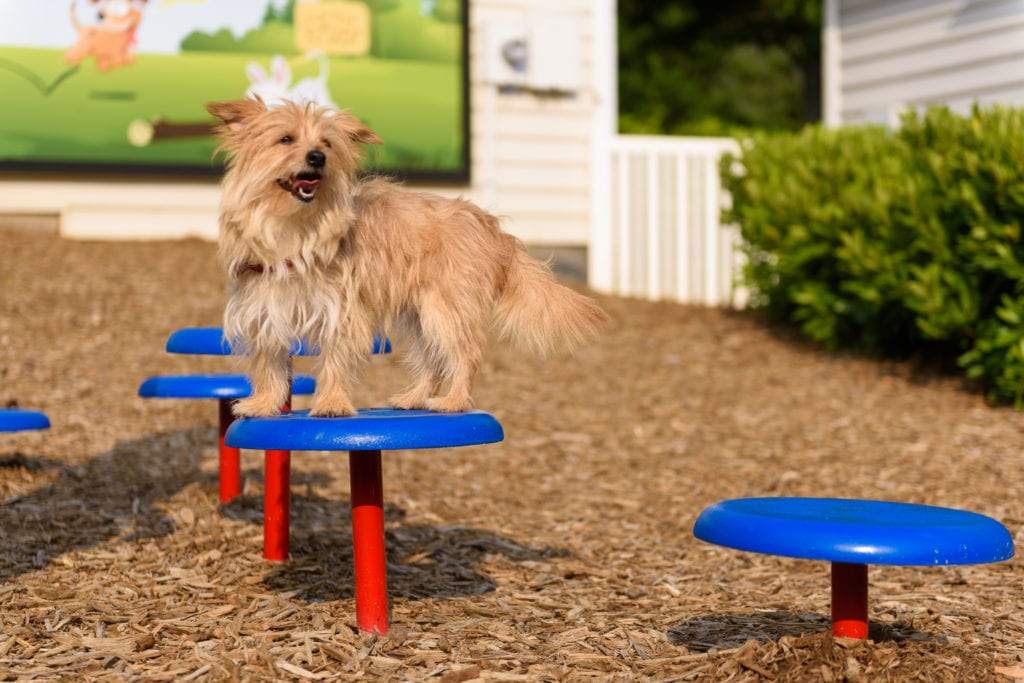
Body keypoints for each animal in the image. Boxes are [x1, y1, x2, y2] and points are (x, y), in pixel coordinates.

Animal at [207, 96, 606, 417]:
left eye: (327, 144)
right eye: (286, 139)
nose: (318, 157)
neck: (293, 226)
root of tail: (490, 226)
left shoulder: (342, 310)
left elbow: (336, 358)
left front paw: (332, 404)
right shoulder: (265, 308)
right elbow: (270, 364)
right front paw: (264, 404)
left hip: (444, 306)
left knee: (464, 353)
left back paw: (453, 401)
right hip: (419, 314)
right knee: (432, 359)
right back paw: (414, 397)